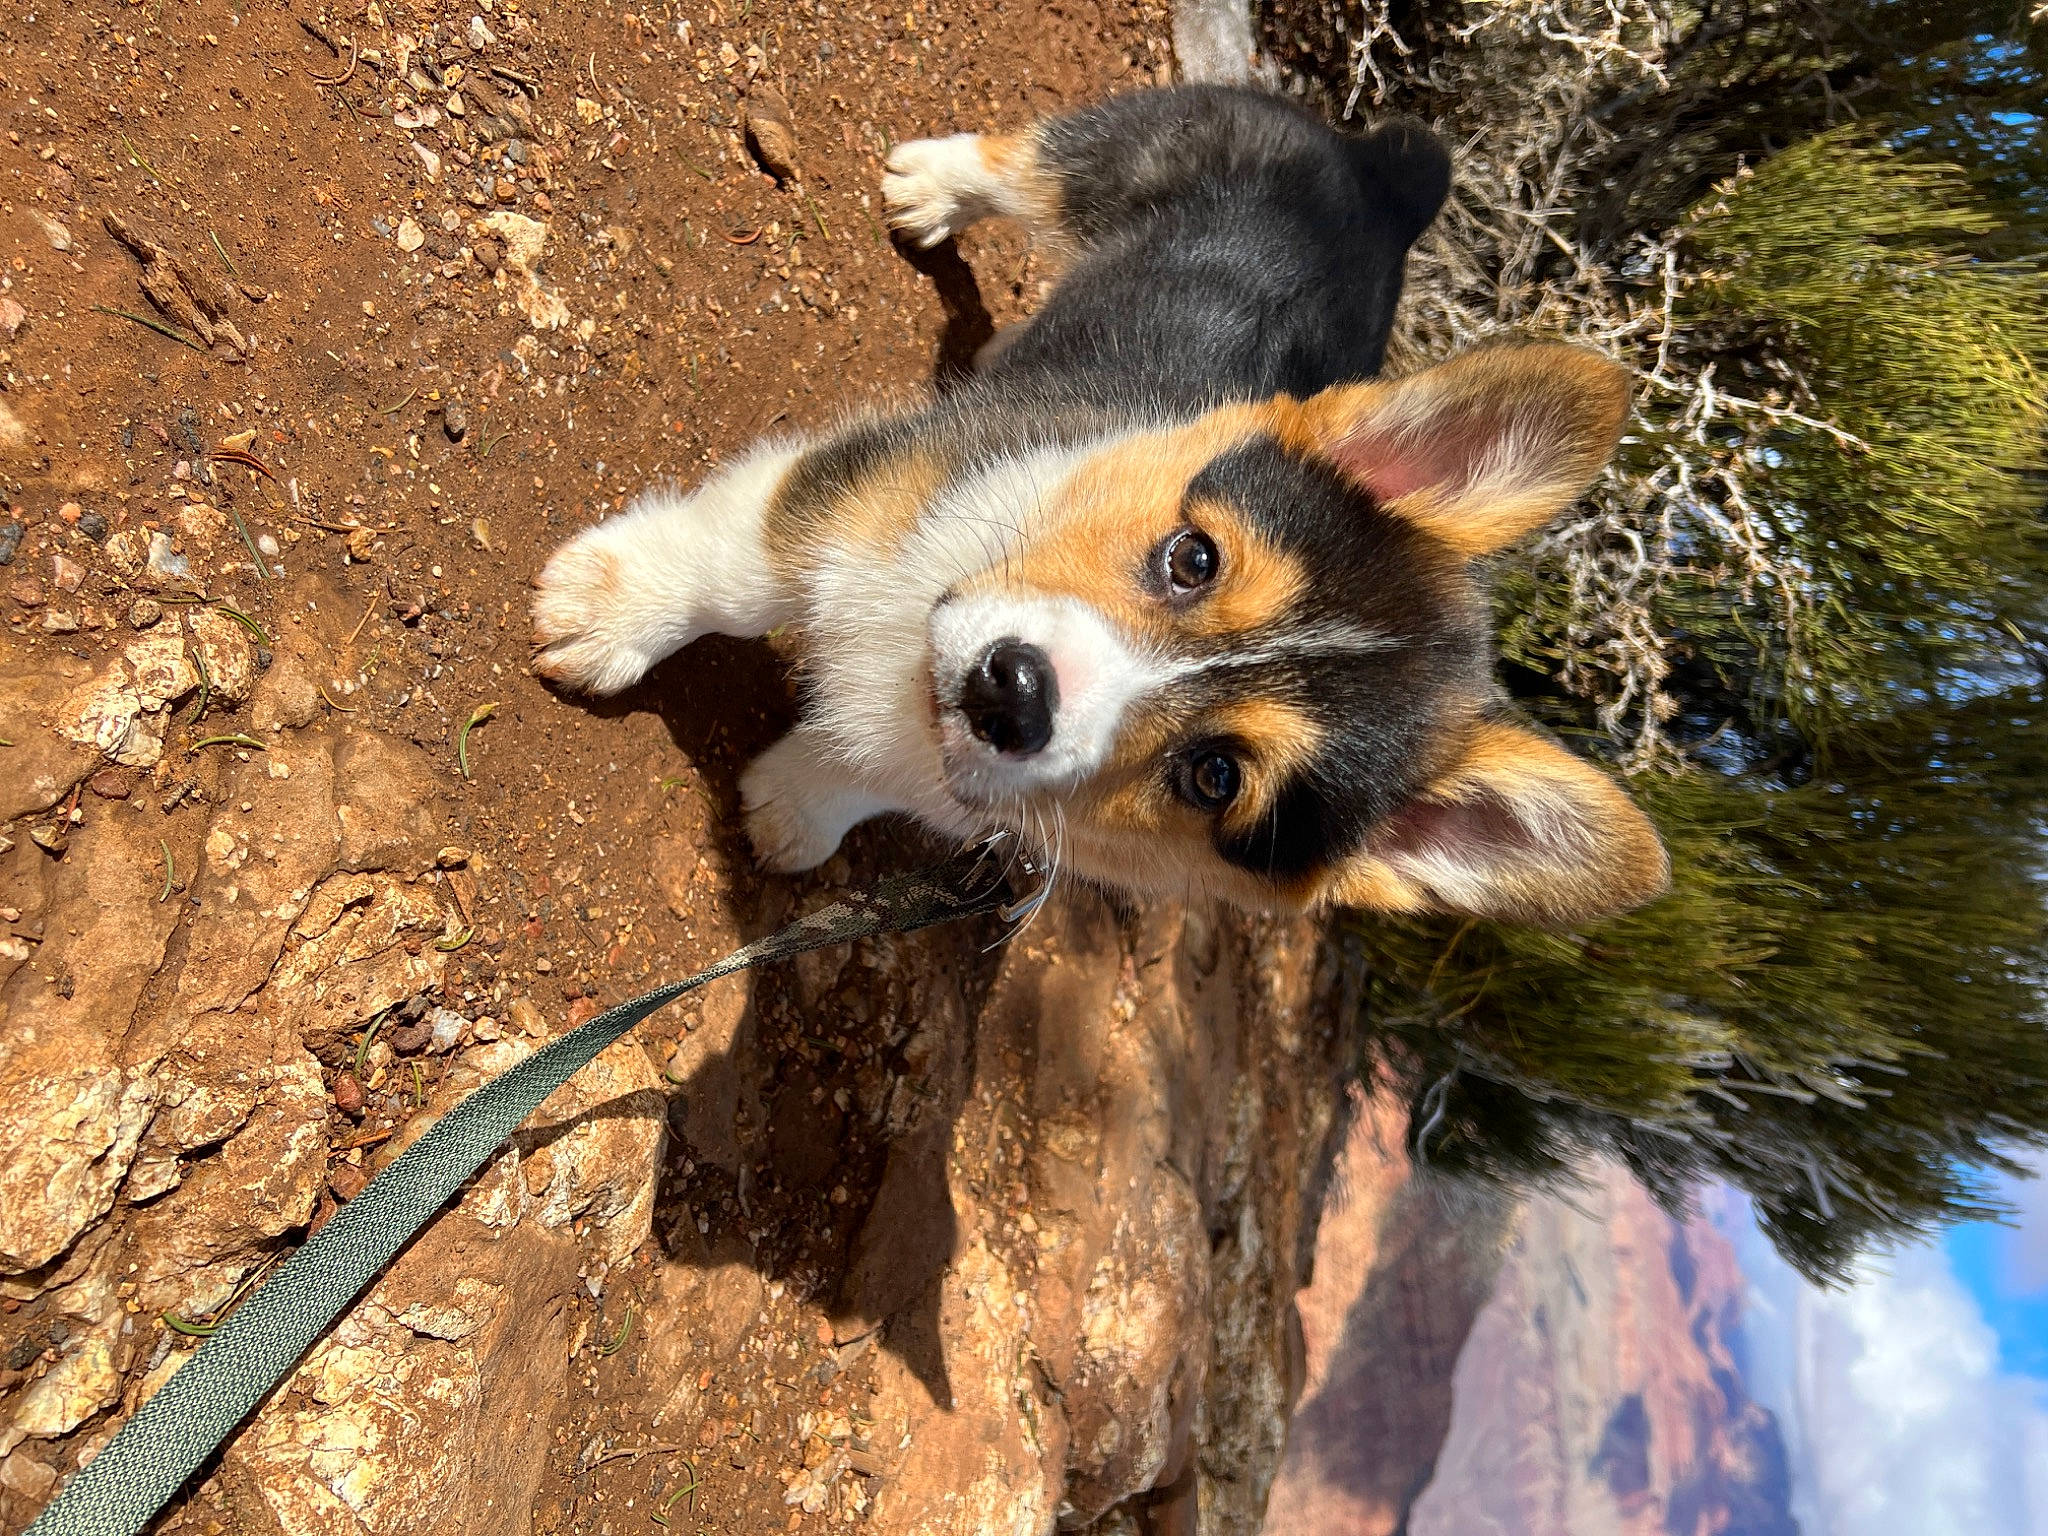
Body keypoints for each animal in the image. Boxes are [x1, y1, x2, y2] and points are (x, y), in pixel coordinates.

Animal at [531, 85, 1667, 926]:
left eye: (1215, 778)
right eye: (1193, 559)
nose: (1010, 693)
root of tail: (1384, 186)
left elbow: (870, 778)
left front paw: (797, 809)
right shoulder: (850, 490)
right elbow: (725, 577)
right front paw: (604, 616)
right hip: (1133, 154)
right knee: (1020, 161)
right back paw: (930, 187)